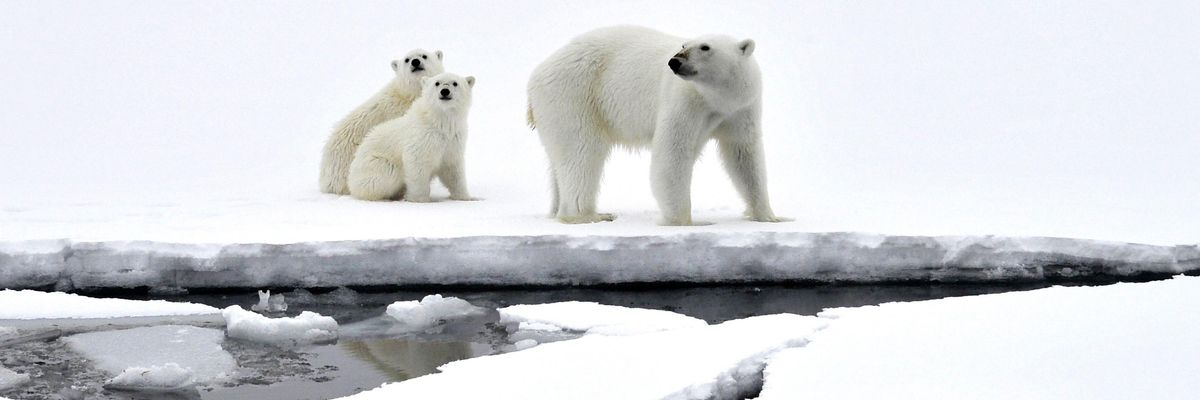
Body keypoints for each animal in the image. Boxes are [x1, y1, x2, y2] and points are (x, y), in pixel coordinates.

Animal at [347, 72, 477, 203]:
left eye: (455, 83)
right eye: (437, 83)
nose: (445, 91)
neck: (439, 121)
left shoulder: (453, 140)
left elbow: (453, 169)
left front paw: (467, 197)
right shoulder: (422, 137)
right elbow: (417, 164)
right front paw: (420, 199)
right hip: (375, 164)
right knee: (386, 174)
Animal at [527, 25, 789, 225]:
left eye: (705, 47)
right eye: (684, 44)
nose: (674, 62)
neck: (716, 99)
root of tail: (536, 75)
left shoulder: (741, 109)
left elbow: (743, 156)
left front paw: (770, 216)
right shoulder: (685, 102)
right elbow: (672, 154)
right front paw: (685, 221)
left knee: (561, 160)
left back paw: (558, 209)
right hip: (575, 96)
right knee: (582, 153)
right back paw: (588, 215)